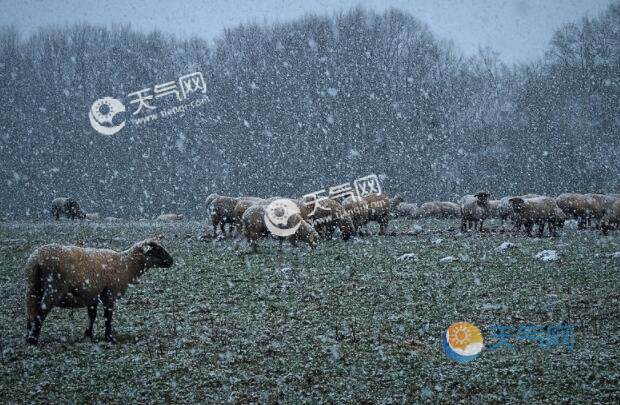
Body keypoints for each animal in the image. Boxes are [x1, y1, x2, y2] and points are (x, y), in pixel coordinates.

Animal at [24, 238, 173, 342]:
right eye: (158, 250)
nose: (172, 261)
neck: (127, 265)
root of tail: (35, 260)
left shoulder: (93, 295)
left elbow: (92, 315)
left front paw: (89, 335)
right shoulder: (110, 293)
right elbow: (108, 316)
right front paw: (109, 338)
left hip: (32, 287)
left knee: (31, 312)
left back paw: (28, 337)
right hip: (53, 288)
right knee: (41, 312)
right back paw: (33, 340)